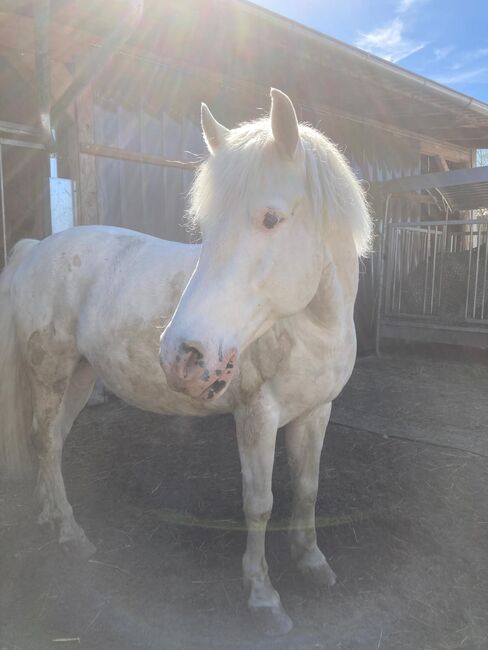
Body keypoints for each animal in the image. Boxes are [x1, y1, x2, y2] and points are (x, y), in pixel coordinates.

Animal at [0, 90, 370, 632]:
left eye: (271, 219)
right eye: (207, 227)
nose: (181, 356)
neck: (309, 328)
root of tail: (33, 250)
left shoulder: (316, 412)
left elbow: (307, 488)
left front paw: (313, 562)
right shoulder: (257, 417)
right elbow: (259, 504)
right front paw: (263, 597)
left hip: (79, 378)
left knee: (52, 443)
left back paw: (51, 515)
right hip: (50, 373)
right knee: (46, 441)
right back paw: (70, 534)